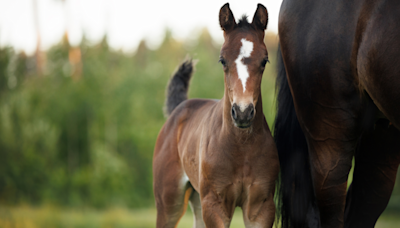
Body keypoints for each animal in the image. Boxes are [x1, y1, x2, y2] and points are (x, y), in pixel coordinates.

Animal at [153, 3, 278, 228]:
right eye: (222, 60)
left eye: (264, 61)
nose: (243, 113)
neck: (241, 146)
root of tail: (179, 108)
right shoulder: (214, 205)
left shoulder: (261, 207)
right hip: (169, 202)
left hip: (197, 199)